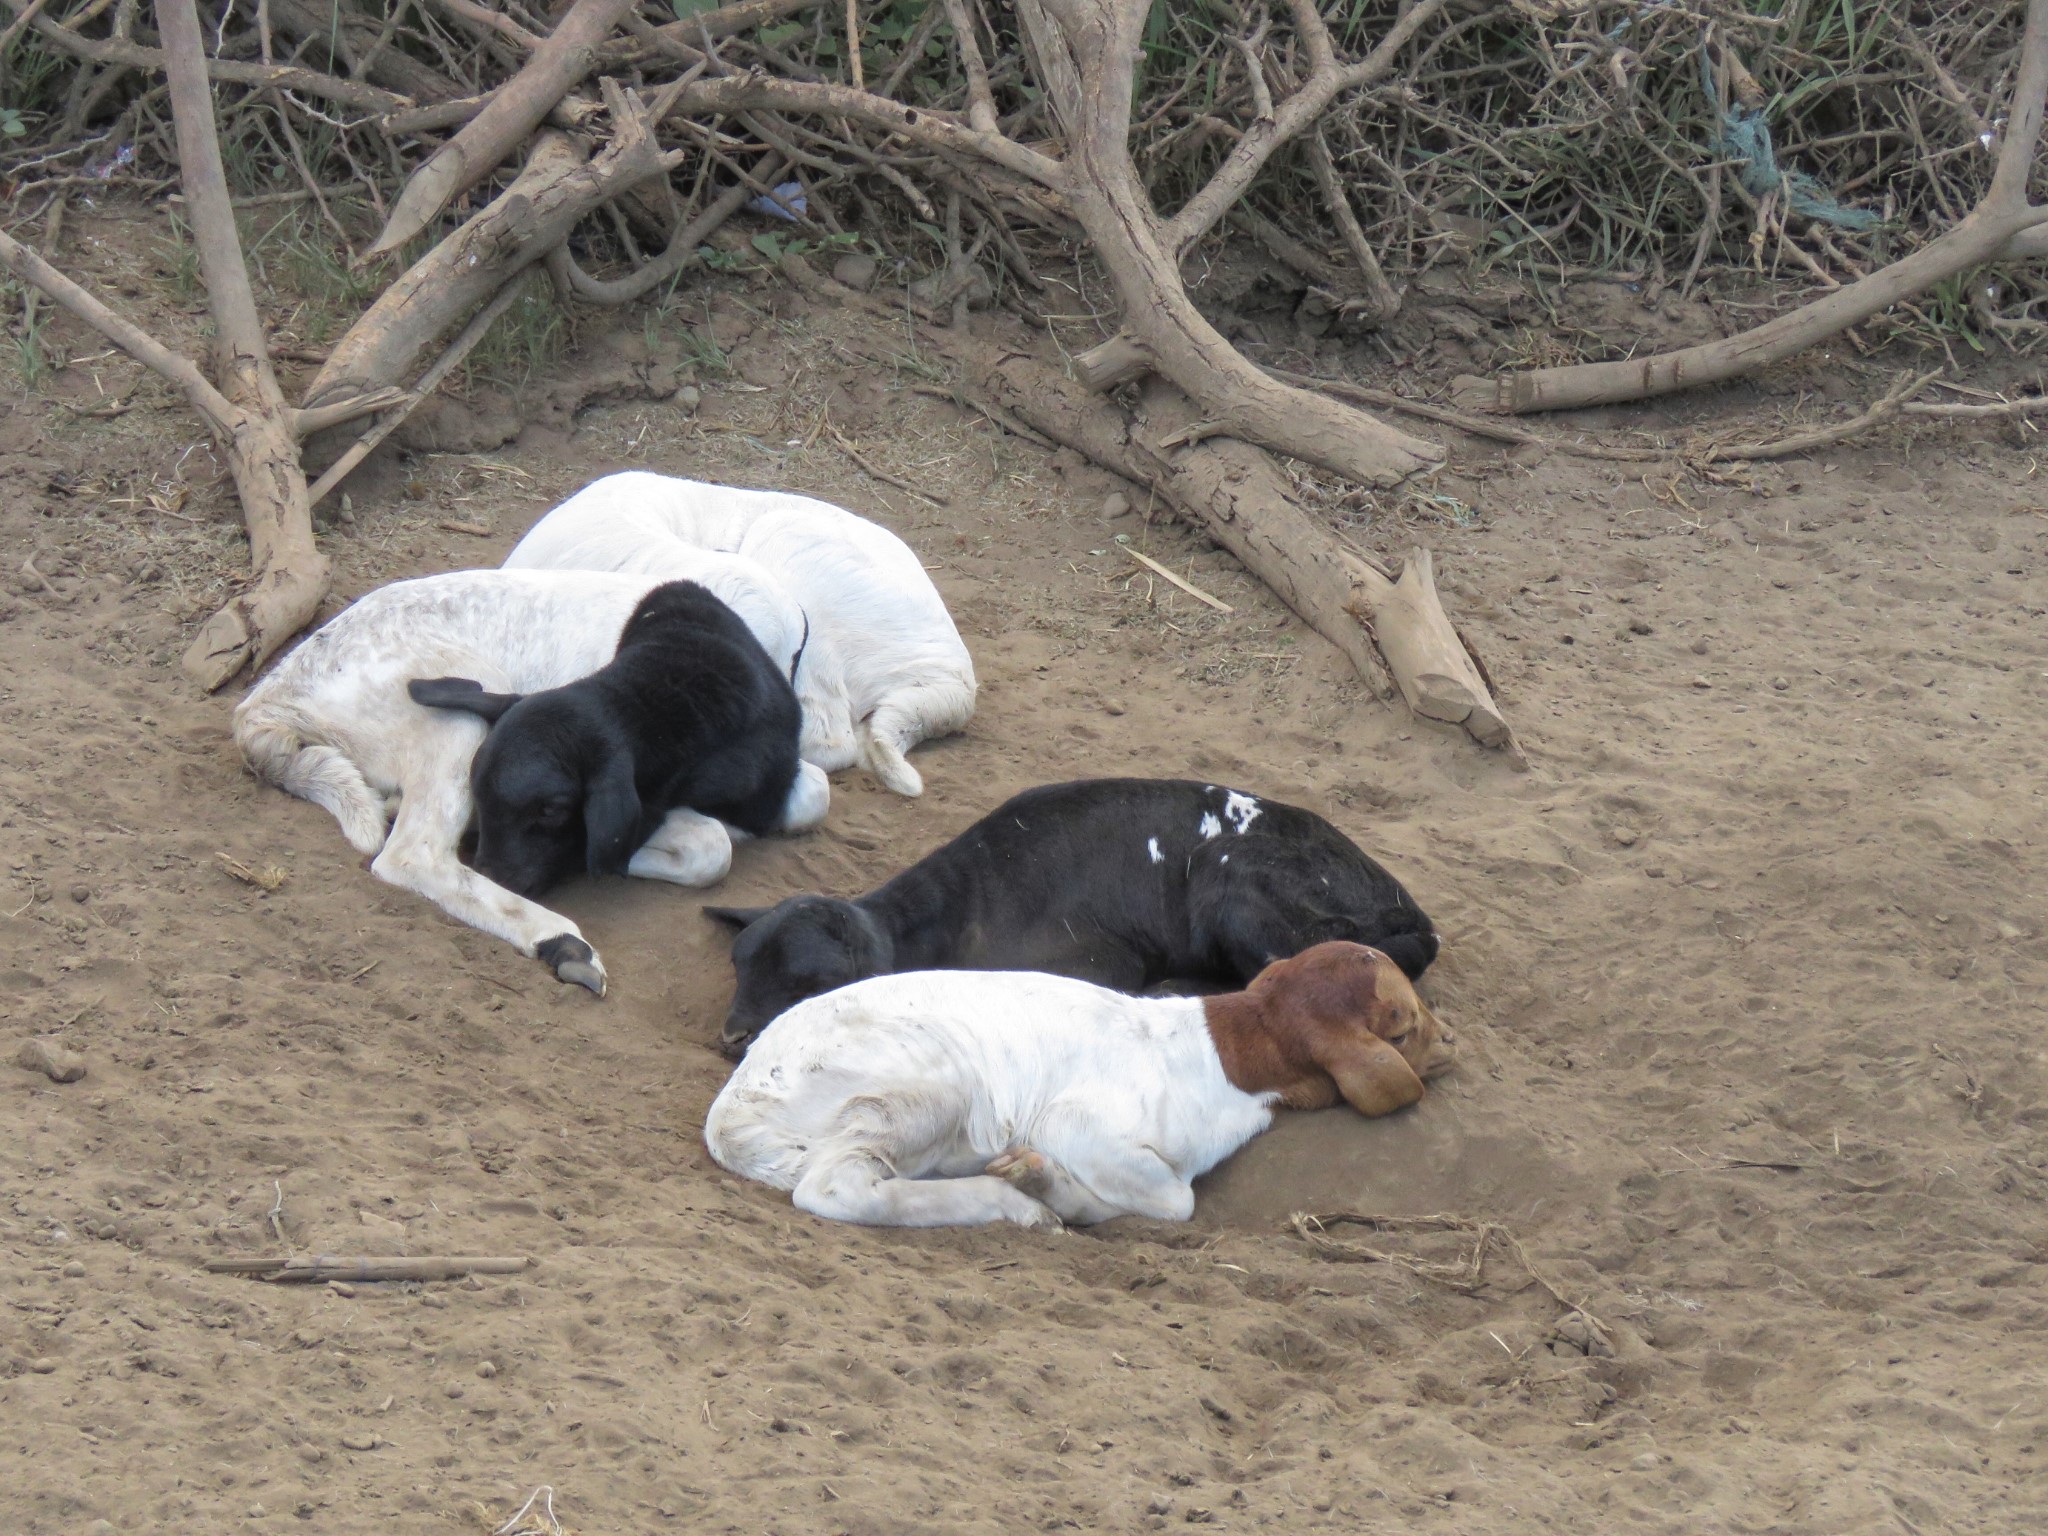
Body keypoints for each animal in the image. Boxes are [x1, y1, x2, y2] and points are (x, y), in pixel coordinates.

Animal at [232, 573, 823, 999]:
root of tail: (267, 698)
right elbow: (704, 843)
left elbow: (810, 794)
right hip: (462, 703)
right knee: (412, 856)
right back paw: (562, 942)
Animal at [704, 782, 1441, 1056]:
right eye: (738, 965)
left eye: (807, 979)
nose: (734, 1034)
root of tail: (1410, 909)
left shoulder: (1096, 959)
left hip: (1232, 873)